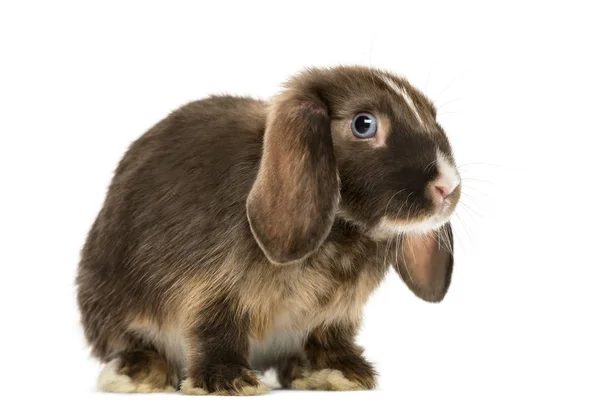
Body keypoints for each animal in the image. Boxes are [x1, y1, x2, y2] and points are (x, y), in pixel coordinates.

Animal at [75, 65, 460, 396]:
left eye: (432, 115)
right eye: (364, 124)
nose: (448, 187)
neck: (342, 233)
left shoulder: (334, 315)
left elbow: (328, 339)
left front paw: (339, 373)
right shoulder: (213, 288)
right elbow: (214, 330)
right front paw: (228, 381)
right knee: (131, 343)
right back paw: (137, 375)